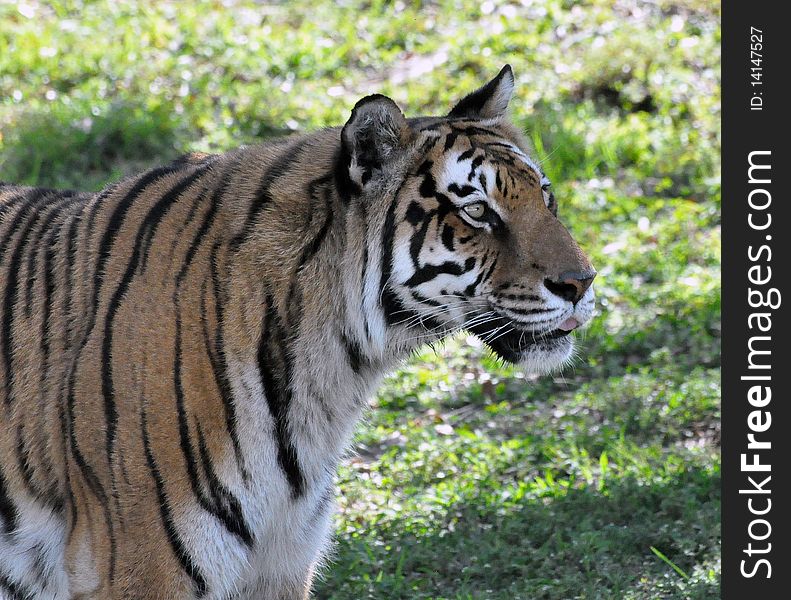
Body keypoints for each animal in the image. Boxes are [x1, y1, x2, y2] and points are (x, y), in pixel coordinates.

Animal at [0, 67, 592, 600]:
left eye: (545, 197)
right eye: (476, 211)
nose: (582, 283)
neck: (333, 376)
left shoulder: (281, 563)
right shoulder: (143, 566)